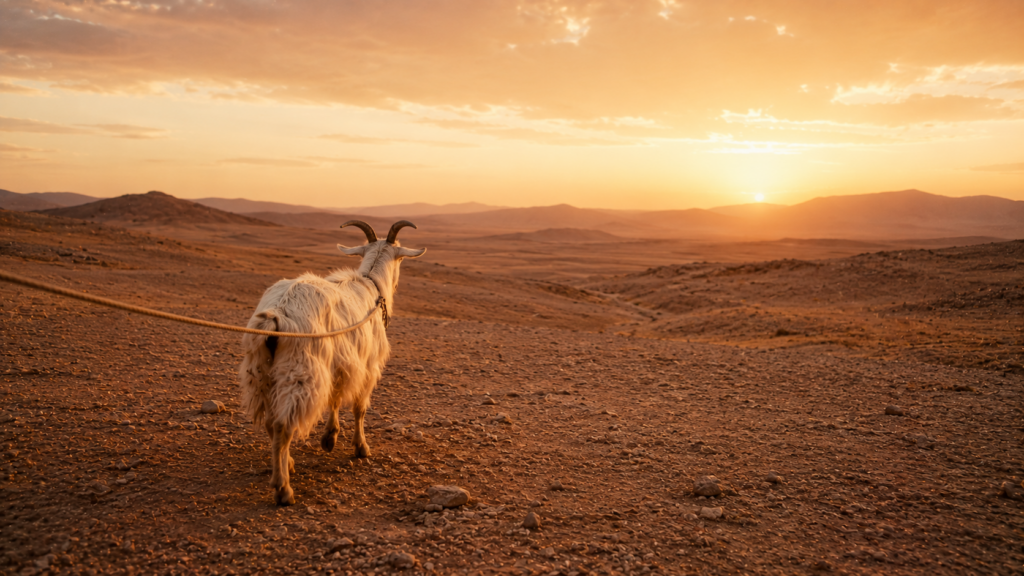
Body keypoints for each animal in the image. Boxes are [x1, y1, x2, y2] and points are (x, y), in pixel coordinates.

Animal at [238, 220, 425, 505]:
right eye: (401, 259)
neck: (371, 285)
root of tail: (276, 315)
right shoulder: (367, 365)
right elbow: (359, 407)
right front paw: (360, 447)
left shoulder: (341, 363)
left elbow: (335, 398)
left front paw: (329, 437)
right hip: (302, 370)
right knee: (282, 424)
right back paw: (283, 489)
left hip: (260, 372)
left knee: (271, 422)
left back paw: (287, 463)